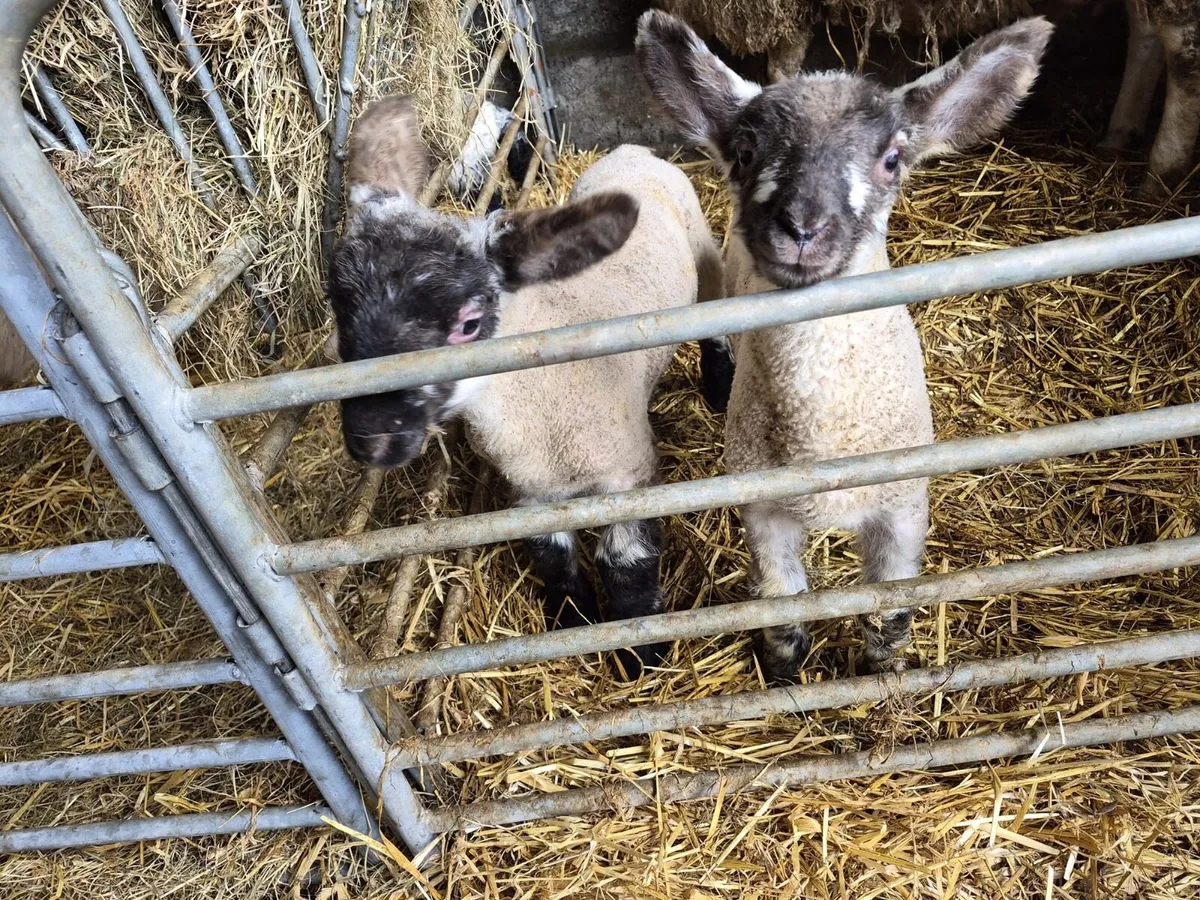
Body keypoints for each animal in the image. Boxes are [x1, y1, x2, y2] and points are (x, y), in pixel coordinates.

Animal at [329, 95, 723, 678]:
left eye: (469, 324)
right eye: (340, 310)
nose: (370, 438)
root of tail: (635, 151)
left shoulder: (628, 473)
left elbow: (627, 560)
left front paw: (641, 655)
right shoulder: (531, 490)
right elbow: (552, 557)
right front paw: (572, 622)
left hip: (703, 246)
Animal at [636, 10, 1052, 682]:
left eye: (892, 159)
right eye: (745, 152)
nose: (802, 227)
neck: (824, 439)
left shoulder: (903, 506)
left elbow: (889, 610)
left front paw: (880, 677)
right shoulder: (762, 506)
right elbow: (781, 602)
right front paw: (783, 675)